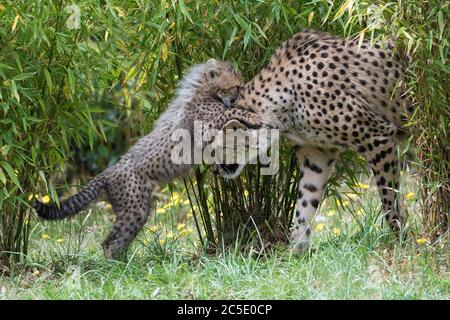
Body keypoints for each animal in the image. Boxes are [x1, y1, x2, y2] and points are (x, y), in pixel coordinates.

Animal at [34, 60, 260, 260]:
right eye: (236, 86)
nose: (241, 94)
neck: (205, 91)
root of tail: (109, 170)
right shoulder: (205, 125)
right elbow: (229, 111)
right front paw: (251, 114)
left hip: (134, 209)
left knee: (118, 240)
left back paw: (124, 264)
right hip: (134, 208)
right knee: (109, 242)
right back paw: (117, 268)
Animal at [220, 30, 414, 252]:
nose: (217, 170)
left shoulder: (378, 136)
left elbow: (389, 195)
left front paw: (400, 237)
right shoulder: (316, 156)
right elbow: (305, 201)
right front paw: (297, 249)